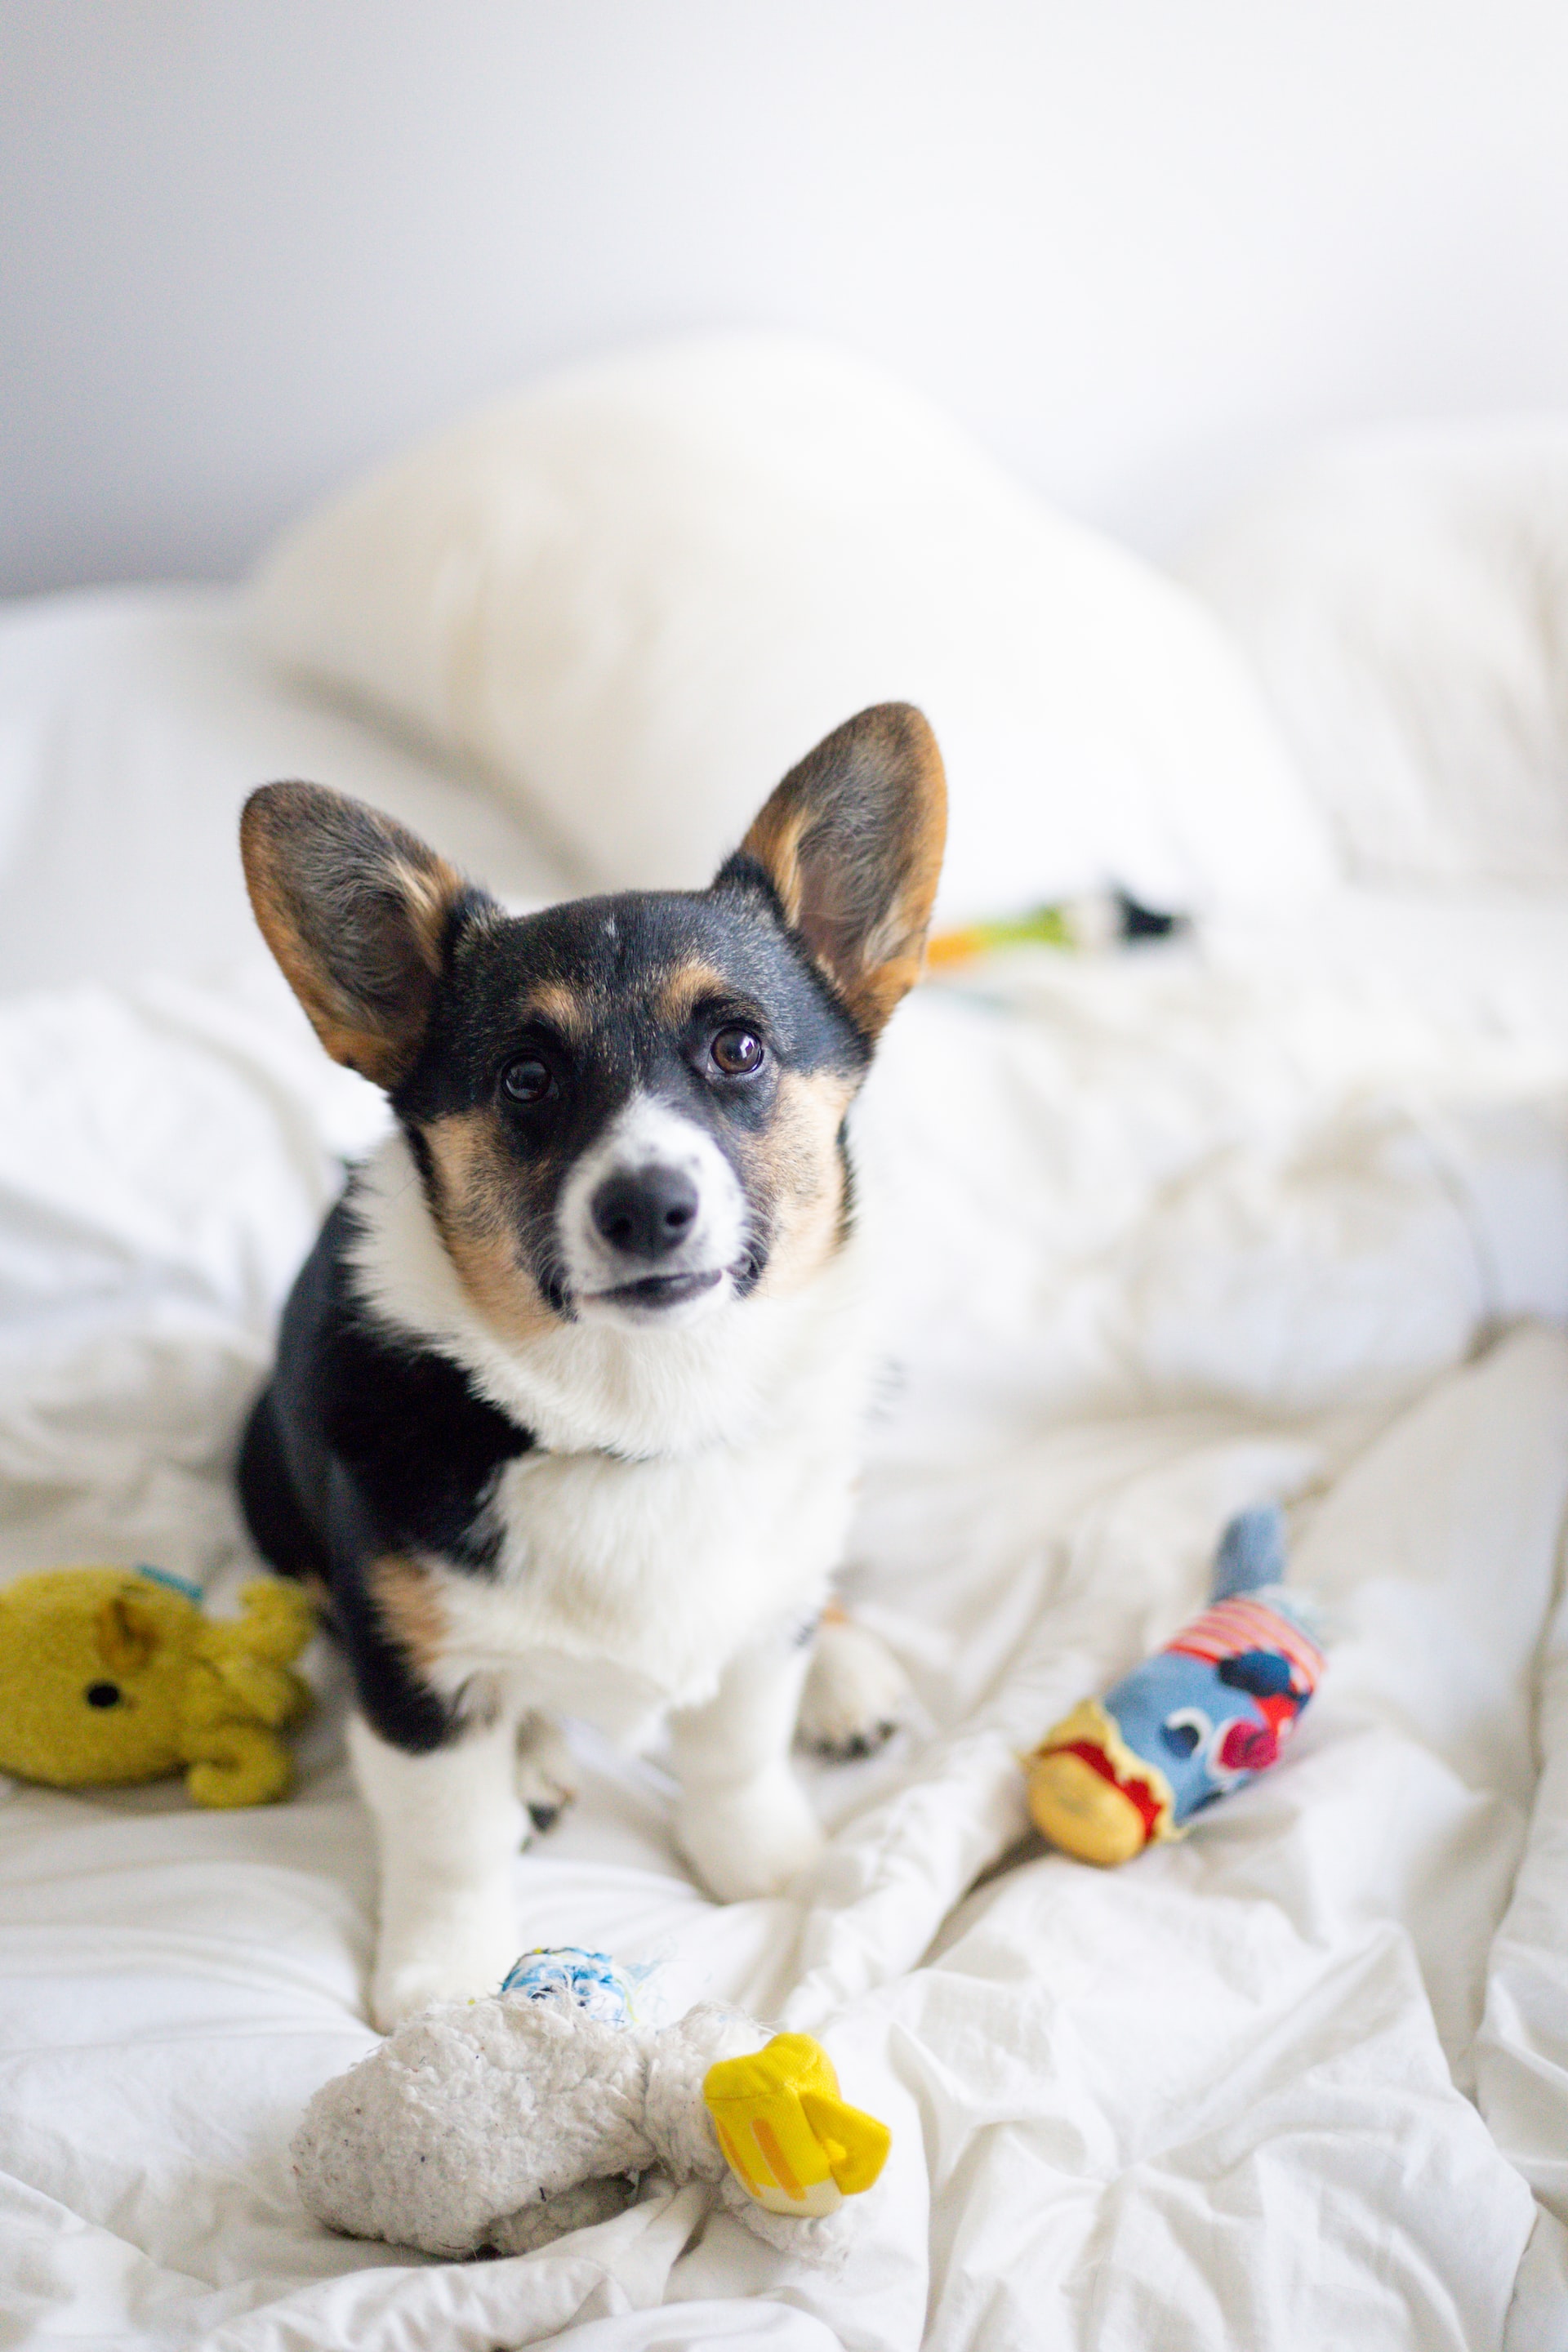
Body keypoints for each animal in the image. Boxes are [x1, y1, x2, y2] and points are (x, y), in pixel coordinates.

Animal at [232, 696, 945, 2022]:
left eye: (739, 1049)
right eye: (525, 1078)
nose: (648, 1207)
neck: (637, 1418)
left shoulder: (751, 1633)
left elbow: (736, 1750)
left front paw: (770, 1867)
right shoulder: (410, 1677)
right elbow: (447, 1836)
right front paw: (444, 1978)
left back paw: (848, 1674)